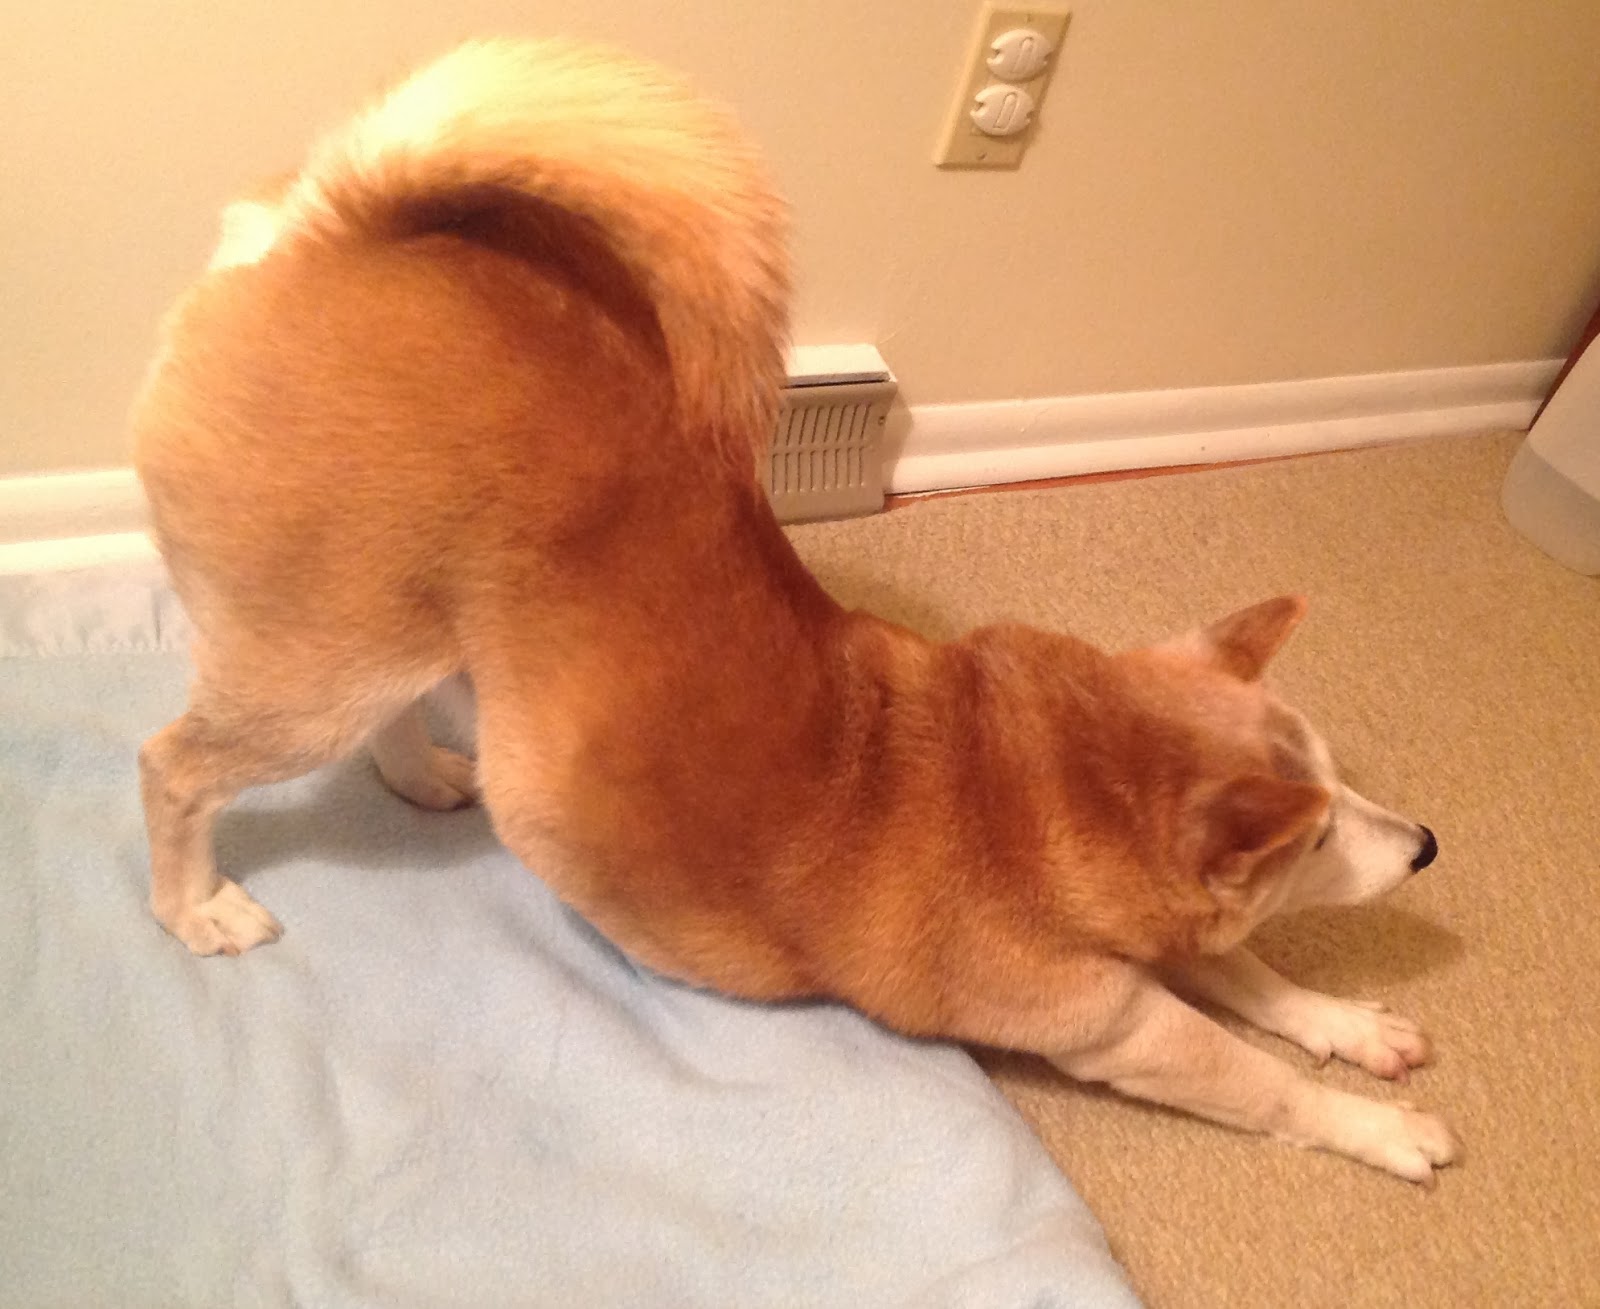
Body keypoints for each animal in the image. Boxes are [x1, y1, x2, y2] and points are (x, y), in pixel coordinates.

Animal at [132, 38, 1459, 1185]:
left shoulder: (1169, 945)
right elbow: (1249, 1070)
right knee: (176, 766)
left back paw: (418, 775)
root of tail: (335, 226)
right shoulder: (1114, 1022)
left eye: (1339, 788)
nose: (1424, 844)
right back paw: (192, 906)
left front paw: (1345, 1021)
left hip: (400, 631)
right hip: (321, 662)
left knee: (381, 720)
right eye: (1315, 841)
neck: (1024, 781)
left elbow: (1260, 982)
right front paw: (1372, 1124)